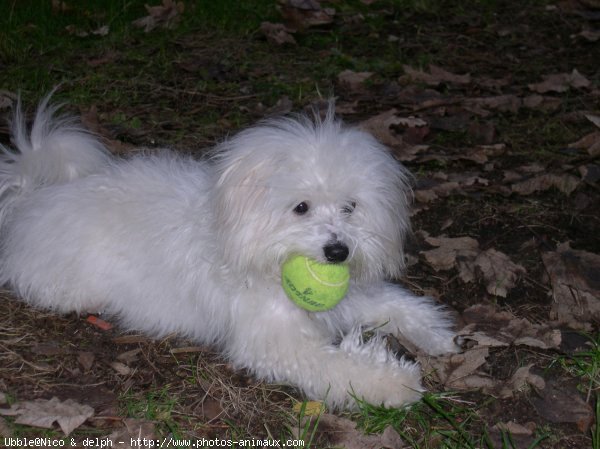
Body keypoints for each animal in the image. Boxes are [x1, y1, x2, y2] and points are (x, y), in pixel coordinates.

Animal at [0, 95, 454, 410]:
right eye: (301, 207)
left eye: (350, 207)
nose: (338, 250)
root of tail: (30, 199)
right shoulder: (277, 343)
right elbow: (336, 365)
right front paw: (393, 383)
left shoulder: (351, 299)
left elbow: (397, 304)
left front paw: (436, 334)